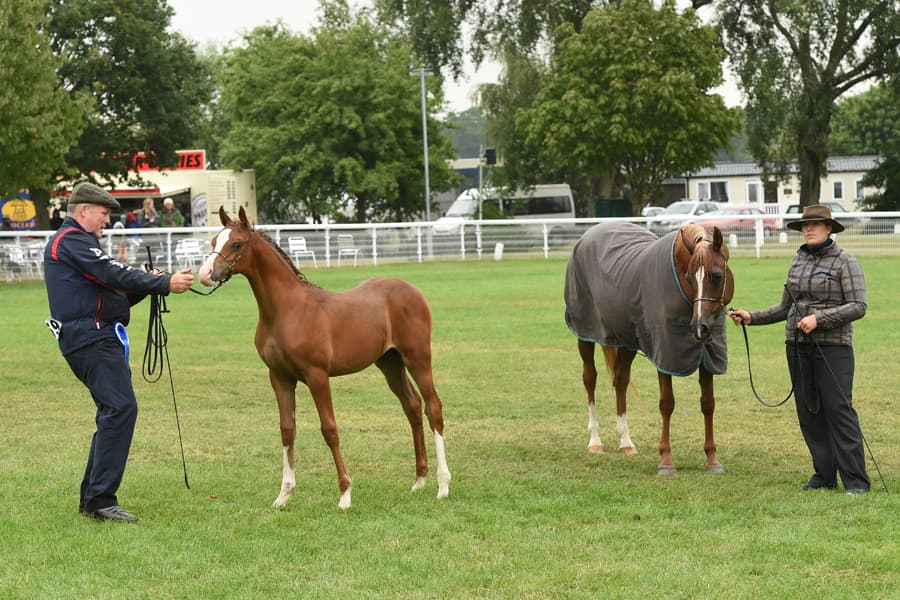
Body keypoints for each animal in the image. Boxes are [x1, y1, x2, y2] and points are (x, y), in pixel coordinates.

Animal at [198, 206, 451, 509]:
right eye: (214, 241)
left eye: (236, 244)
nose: (205, 274)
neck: (288, 310)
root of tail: (412, 290)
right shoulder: (280, 377)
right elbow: (287, 429)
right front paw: (283, 495)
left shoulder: (317, 376)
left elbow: (329, 429)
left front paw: (345, 494)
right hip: (390, 363)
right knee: (412, 407)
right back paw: (420, 480)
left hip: (418, 358)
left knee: (433, 407)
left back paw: (443, 485)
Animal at [563, 222, 734, 473]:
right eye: (689, 277)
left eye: (716, 275)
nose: (699, 327)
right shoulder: (664, 353)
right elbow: (666, 404)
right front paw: (666, 461)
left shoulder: (706, 356)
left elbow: (708, 404)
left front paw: (712, 459)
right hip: (585, 333)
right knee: (589, 378)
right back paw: (595, 440)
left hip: (626, 340)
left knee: (620, 380)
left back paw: (625, 442)